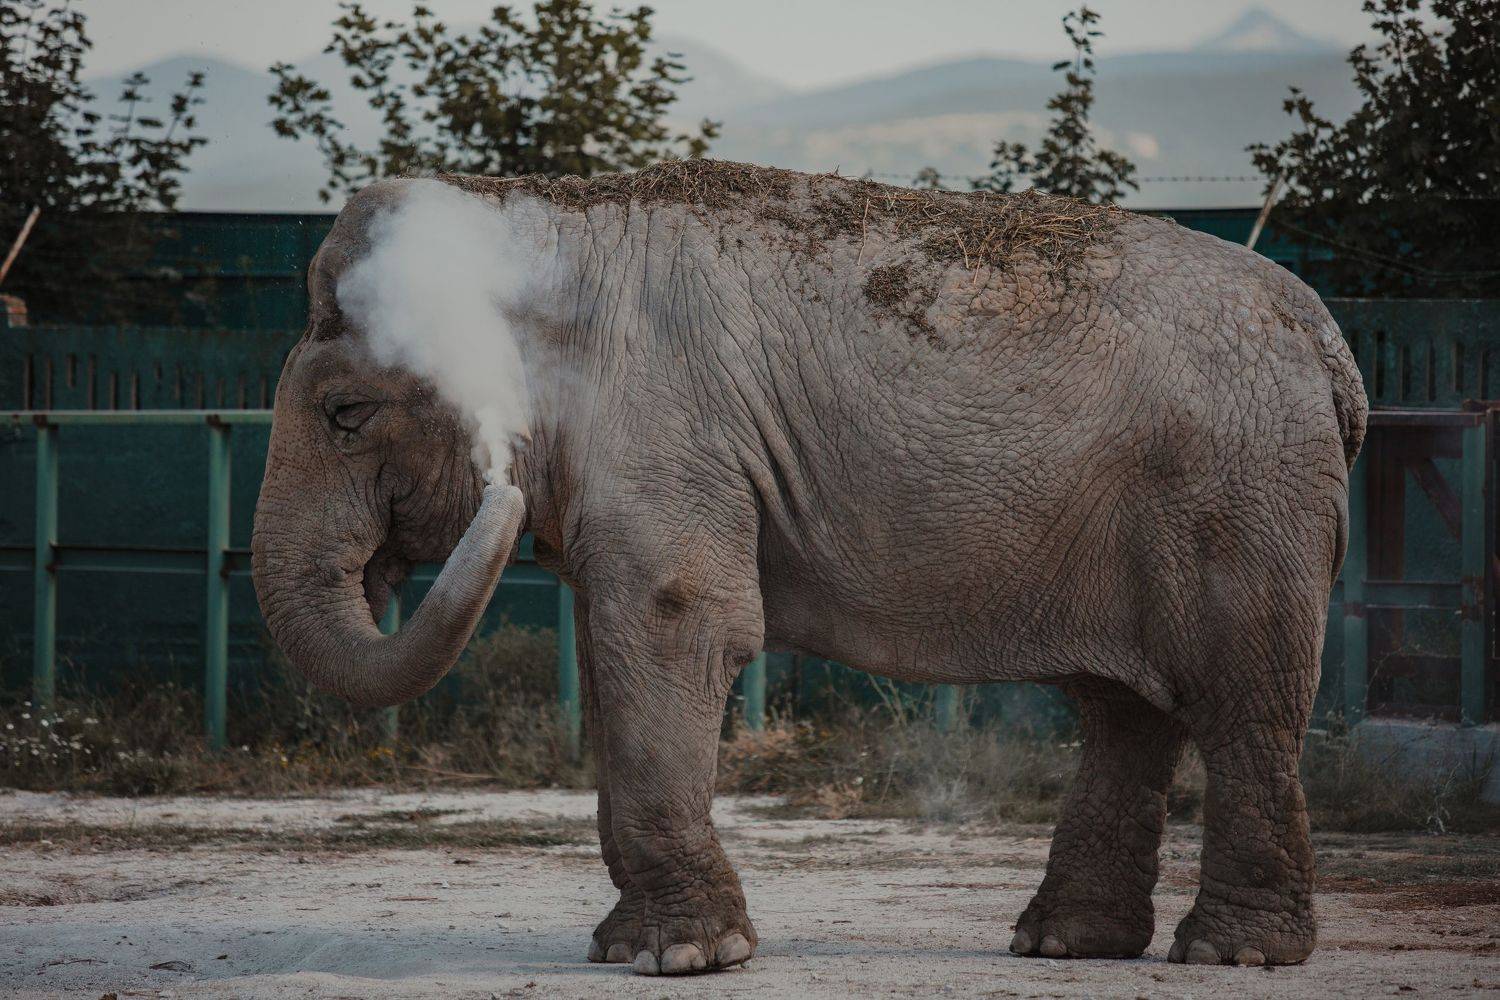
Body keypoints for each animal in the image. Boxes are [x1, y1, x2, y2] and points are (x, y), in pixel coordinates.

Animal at [251, 160, 1366, 976]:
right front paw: (635, 950)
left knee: (1240, 699)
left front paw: (682, 958)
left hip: (1245, 496)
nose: (496, 481)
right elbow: (614, 643)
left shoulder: (666, 428)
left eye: (346, 413)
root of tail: (1328, 341)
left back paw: (1230, 953)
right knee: (1124, 709)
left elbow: (677, 617)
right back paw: (1064, 943)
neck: (540, 221)